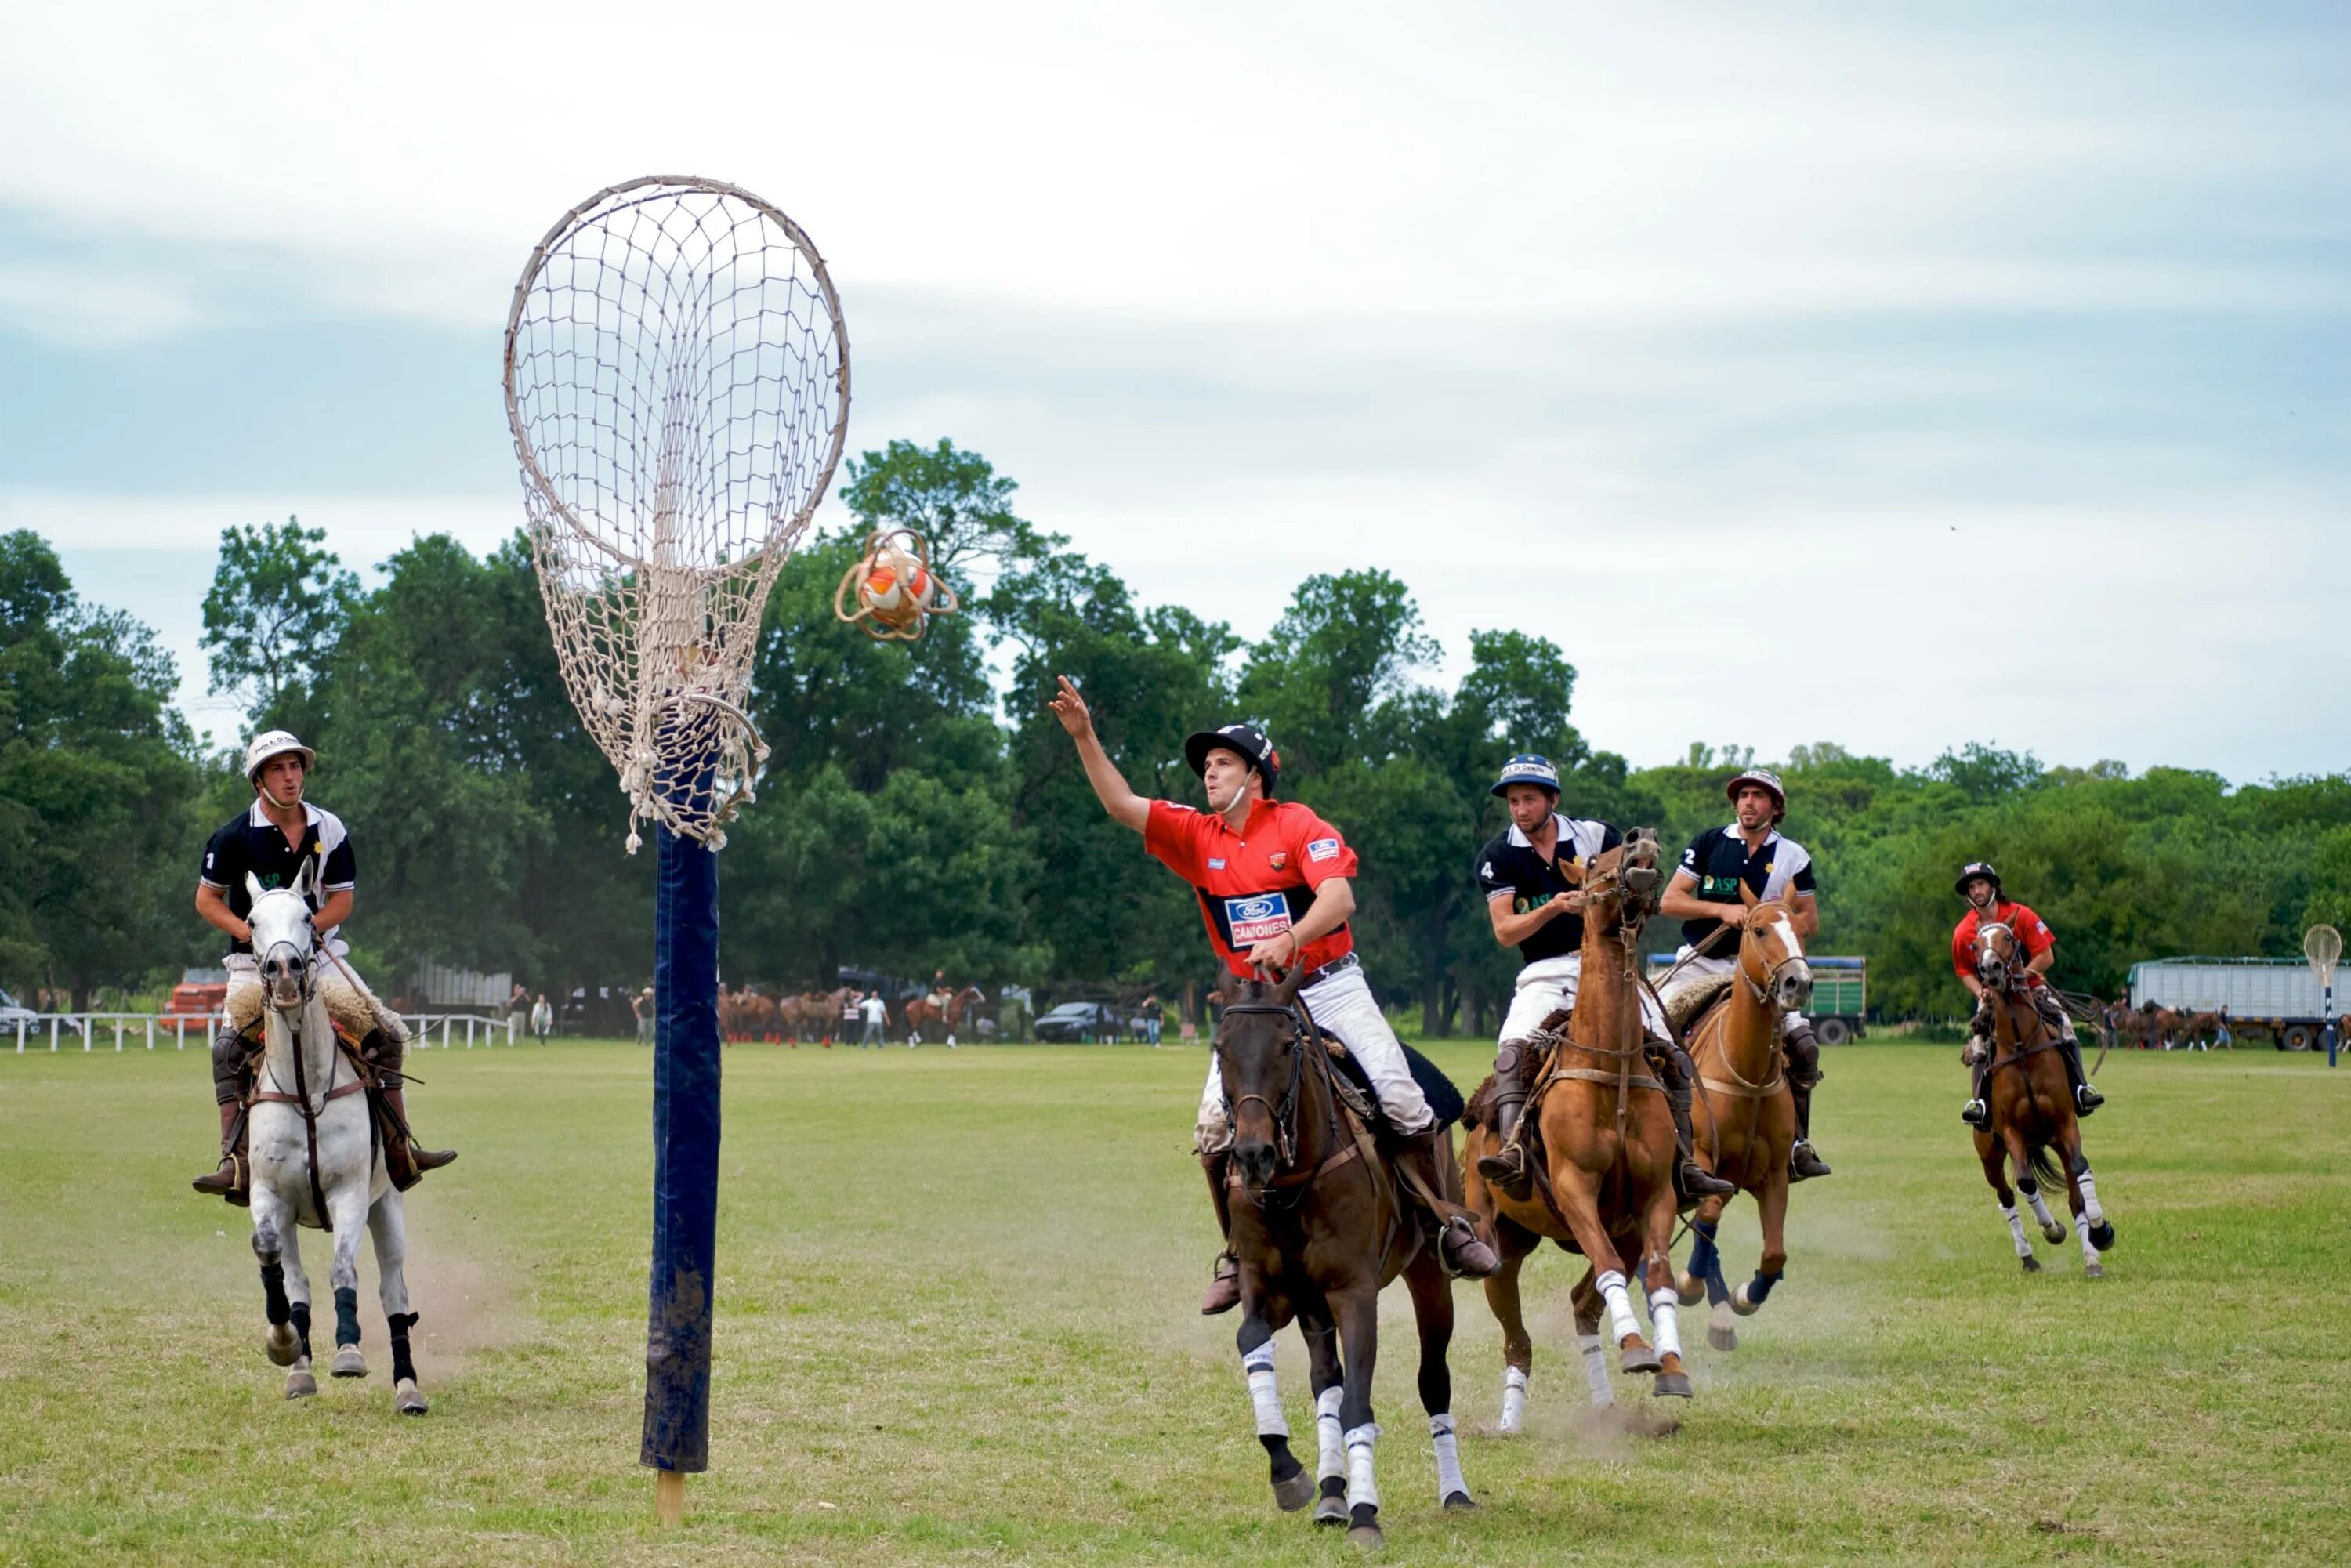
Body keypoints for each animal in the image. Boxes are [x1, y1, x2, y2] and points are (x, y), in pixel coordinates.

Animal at [241, 865, 426, 1420]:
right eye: (251, 921)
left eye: (308, 915)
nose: (284, 970)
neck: (306, 1087)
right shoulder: (269, 1196)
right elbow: (270, 1254)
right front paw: (283, 1345)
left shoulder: (350, 1193)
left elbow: (344, 1267)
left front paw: (348, 1350)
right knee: (297, 1282)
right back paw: (299, 1369)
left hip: (387, 1203)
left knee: (394, 1293)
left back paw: (408, 1389)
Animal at [1213, 969, 1467, 1542]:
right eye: (1220, 1048)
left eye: (1287, 1046)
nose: (1252, 1154)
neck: (1288, 1186)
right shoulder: (1266, 1283)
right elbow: (1252, 1342)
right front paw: (1290, 1472)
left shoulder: (1355, 1292)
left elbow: (1359, 1403)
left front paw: (1366, 1515)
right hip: (1313, 1305)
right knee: (1325, 1380)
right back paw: (1332, 1492)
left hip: (1429, 1274)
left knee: (1433, 1380)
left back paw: (1456, 1493)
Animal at [1458, 827, 1702, 1429]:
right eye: (1593, 863)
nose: (1642, 840)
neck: (1613, 1066)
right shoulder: (1573, 1189)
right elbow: (1611, 1268)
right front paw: (1637, 1349)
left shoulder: (1656, 1197)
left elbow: (1659, 1277)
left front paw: (1667, 1365)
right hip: (1499, 1241)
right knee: (1517, 1339)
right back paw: (1509, 1422)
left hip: (1618, 1229)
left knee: (1582, 1305)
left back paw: (1605, 1400)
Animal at [1665, 903, 1806, 1354]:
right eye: (1758, 930)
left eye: (1800, 928)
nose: (1799, 982)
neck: (1749, 1075)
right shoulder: (1703, 1160)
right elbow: (1707, 1221)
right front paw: (1689, 1285)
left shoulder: (1774, 1174)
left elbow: (1775, 1253)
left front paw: (1745, 1297)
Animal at [1965, 926, 2116, 1279]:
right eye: (1975, 946)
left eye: (2008, 938)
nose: (1991, 969)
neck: (2021, 1047)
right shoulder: (2011, 1132)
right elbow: (2025, 1183)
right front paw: (2053, 1230)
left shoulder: (2065, 1123)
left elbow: (2080, 1168)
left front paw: (2101, 1232)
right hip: (1989, 1151)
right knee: (2007, 1196)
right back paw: (2027, 1256)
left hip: (2053, 1140)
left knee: (2075, 1197)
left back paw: (2091, 1259)